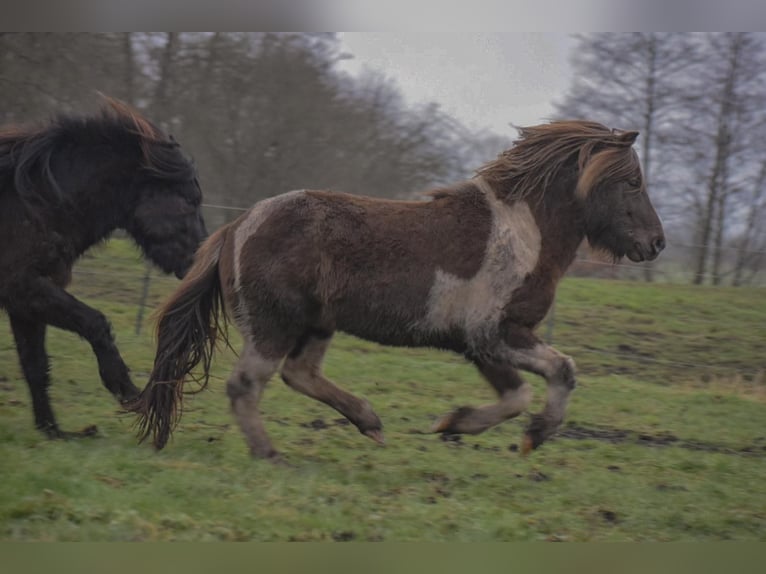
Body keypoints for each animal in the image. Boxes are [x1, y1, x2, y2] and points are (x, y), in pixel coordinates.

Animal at [0, 97, 207, 438]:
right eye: (190, 201)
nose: (199, 260)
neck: (33, 203)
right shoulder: (24, 287)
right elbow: (95, 322)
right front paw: (125, 386)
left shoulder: (25, 301)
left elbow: (36, 366)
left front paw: (53, 432)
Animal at [132, 121, 664, 464]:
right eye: (633, 182)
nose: (656, 242)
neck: (523, 233)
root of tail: (236, 227)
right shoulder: (494, 334)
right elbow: (558, 374)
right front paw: (531, 435)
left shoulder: (480, 345)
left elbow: (518, 393)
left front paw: (454, 425)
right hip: (273, 326)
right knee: (247, 385)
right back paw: (270, 454)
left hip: (316, 325)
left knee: (300, 375)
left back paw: (369, 422)